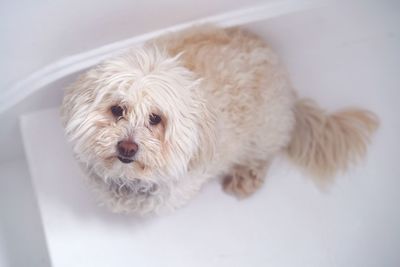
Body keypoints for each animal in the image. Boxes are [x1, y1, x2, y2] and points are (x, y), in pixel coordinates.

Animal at [61, 25, 378, 216]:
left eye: (155, 118)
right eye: (117, 109)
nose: (127, 147)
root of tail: (290, 90)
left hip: (264, 132)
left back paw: (245, 177)